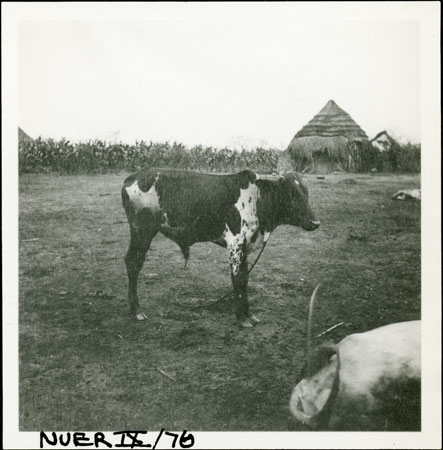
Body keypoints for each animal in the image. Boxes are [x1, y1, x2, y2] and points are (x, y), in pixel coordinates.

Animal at [122, 169, 320, 326]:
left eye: (306, 192)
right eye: (291, 193)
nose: (315, 222)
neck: (257, 200)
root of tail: (133, 177)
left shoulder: (245, 247)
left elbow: (244, 278)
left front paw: (249, 314)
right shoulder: (235, 243)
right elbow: (237, 279)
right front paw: (241, 318)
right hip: (142, 231)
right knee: (133, 263)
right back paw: (137, 311)